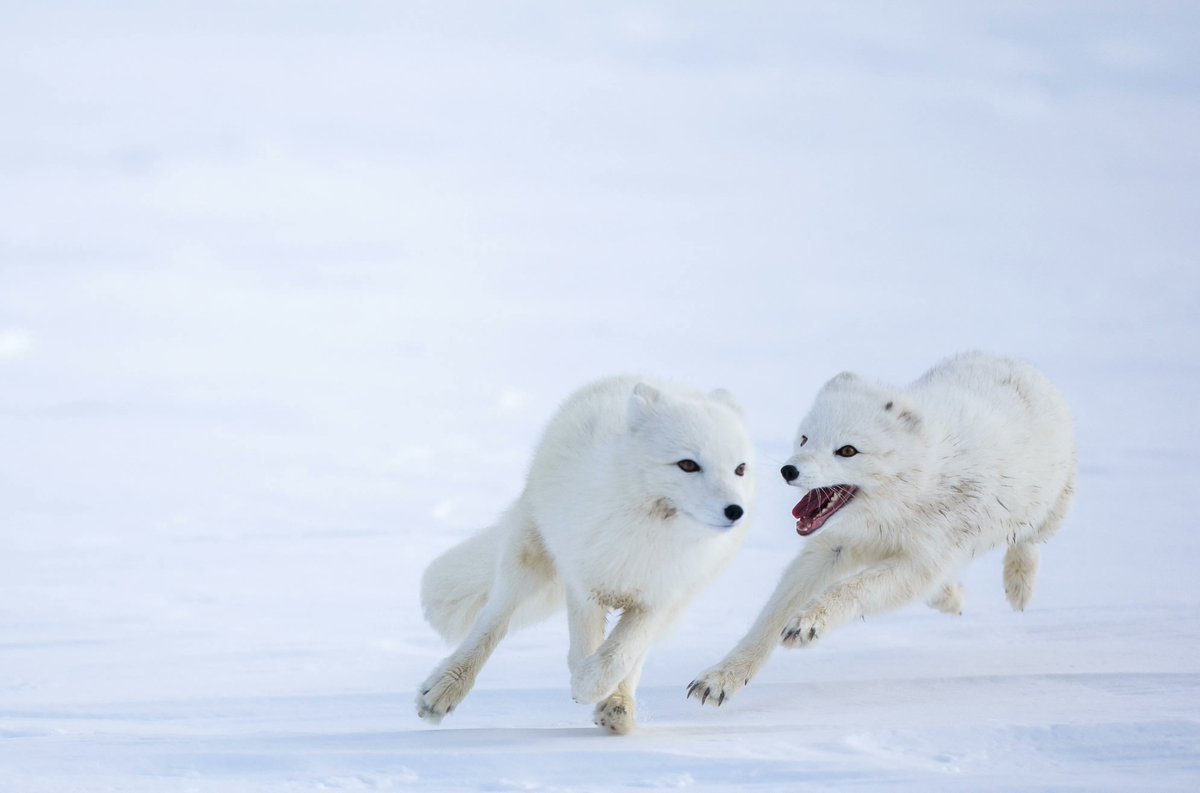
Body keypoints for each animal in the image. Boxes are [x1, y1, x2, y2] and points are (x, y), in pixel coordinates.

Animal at [417, 375, 756, 733]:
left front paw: (599, 690)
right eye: (688, 465)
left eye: (740, 469)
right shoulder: (583, 584)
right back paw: (444, 687)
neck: (650, 538)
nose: (735, 511)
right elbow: (583, 650)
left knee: (636, 657)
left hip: (678, 606)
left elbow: (620, 654)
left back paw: (619, 707)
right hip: (527, 557)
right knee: (493, 620)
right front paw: (585, 685)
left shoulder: (659, 599)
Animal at [688, 352, 1076, 707]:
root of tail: (1010, 360)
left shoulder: (922, 560)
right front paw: (722, 678)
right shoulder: (831, 548)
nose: (788, 470)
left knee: (1029, 539)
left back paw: (1019, 587)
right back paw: (951, 596)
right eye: (804, 439)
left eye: (847, 451)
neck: (891, 511)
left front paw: (808, 623)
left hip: (1049, 509)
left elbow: (853, 588)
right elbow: (771, 617)